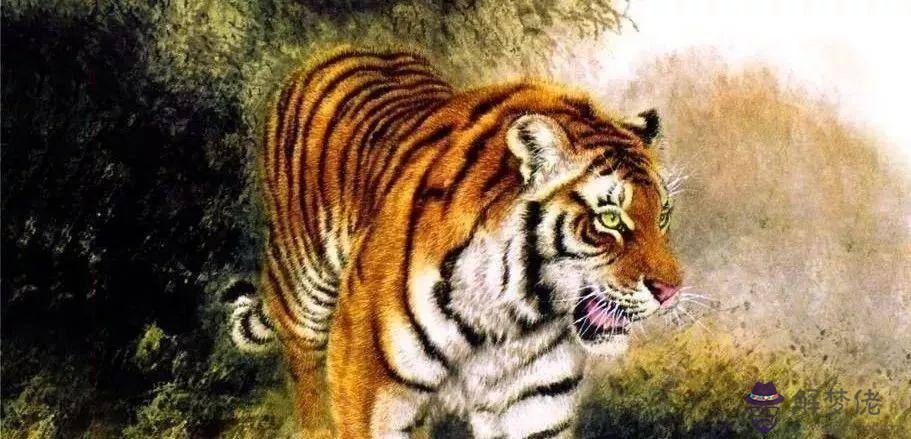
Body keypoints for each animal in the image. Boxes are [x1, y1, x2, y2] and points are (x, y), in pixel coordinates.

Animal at [229, 48, 683, 438]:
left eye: (662, 215)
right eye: (609, 219)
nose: (671, 291)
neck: (511, 315)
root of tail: (336, 51)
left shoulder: (536, 399)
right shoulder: (368, 385)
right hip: (304, 284)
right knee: (303, 361)